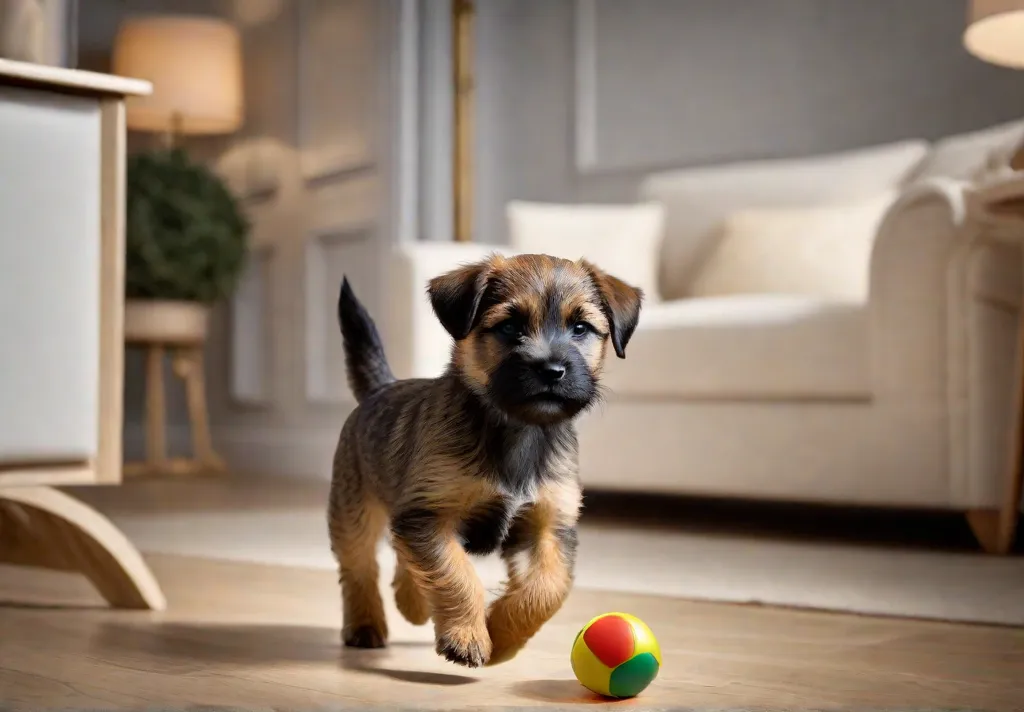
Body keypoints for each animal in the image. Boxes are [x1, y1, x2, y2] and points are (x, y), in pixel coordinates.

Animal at [327, 252, 643, 667]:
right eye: (509, 327)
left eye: (580, 328)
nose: (552, 371)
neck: (518, 430)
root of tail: (380, 388)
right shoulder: (431, 516)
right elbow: (456, 573)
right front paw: (468, 635)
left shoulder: (547, 528)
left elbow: (545, 590)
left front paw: (503, 636)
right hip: (354, 513)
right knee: (359, 568)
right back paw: (366, 625)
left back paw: (412, 603)